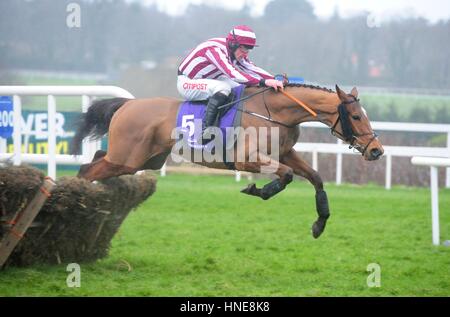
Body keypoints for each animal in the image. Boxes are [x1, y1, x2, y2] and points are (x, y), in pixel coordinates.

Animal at [70, 83, 384, 237]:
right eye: (356, 116)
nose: (376, 150)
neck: (274, 111)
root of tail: (127, 105)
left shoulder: (285, 153)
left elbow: (315, 177)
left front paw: (319, 224)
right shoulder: (246, 160)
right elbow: (285, 176)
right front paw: (257, 189)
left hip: (142, 160)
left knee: (96, 159)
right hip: (127, 158)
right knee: (87, 169)